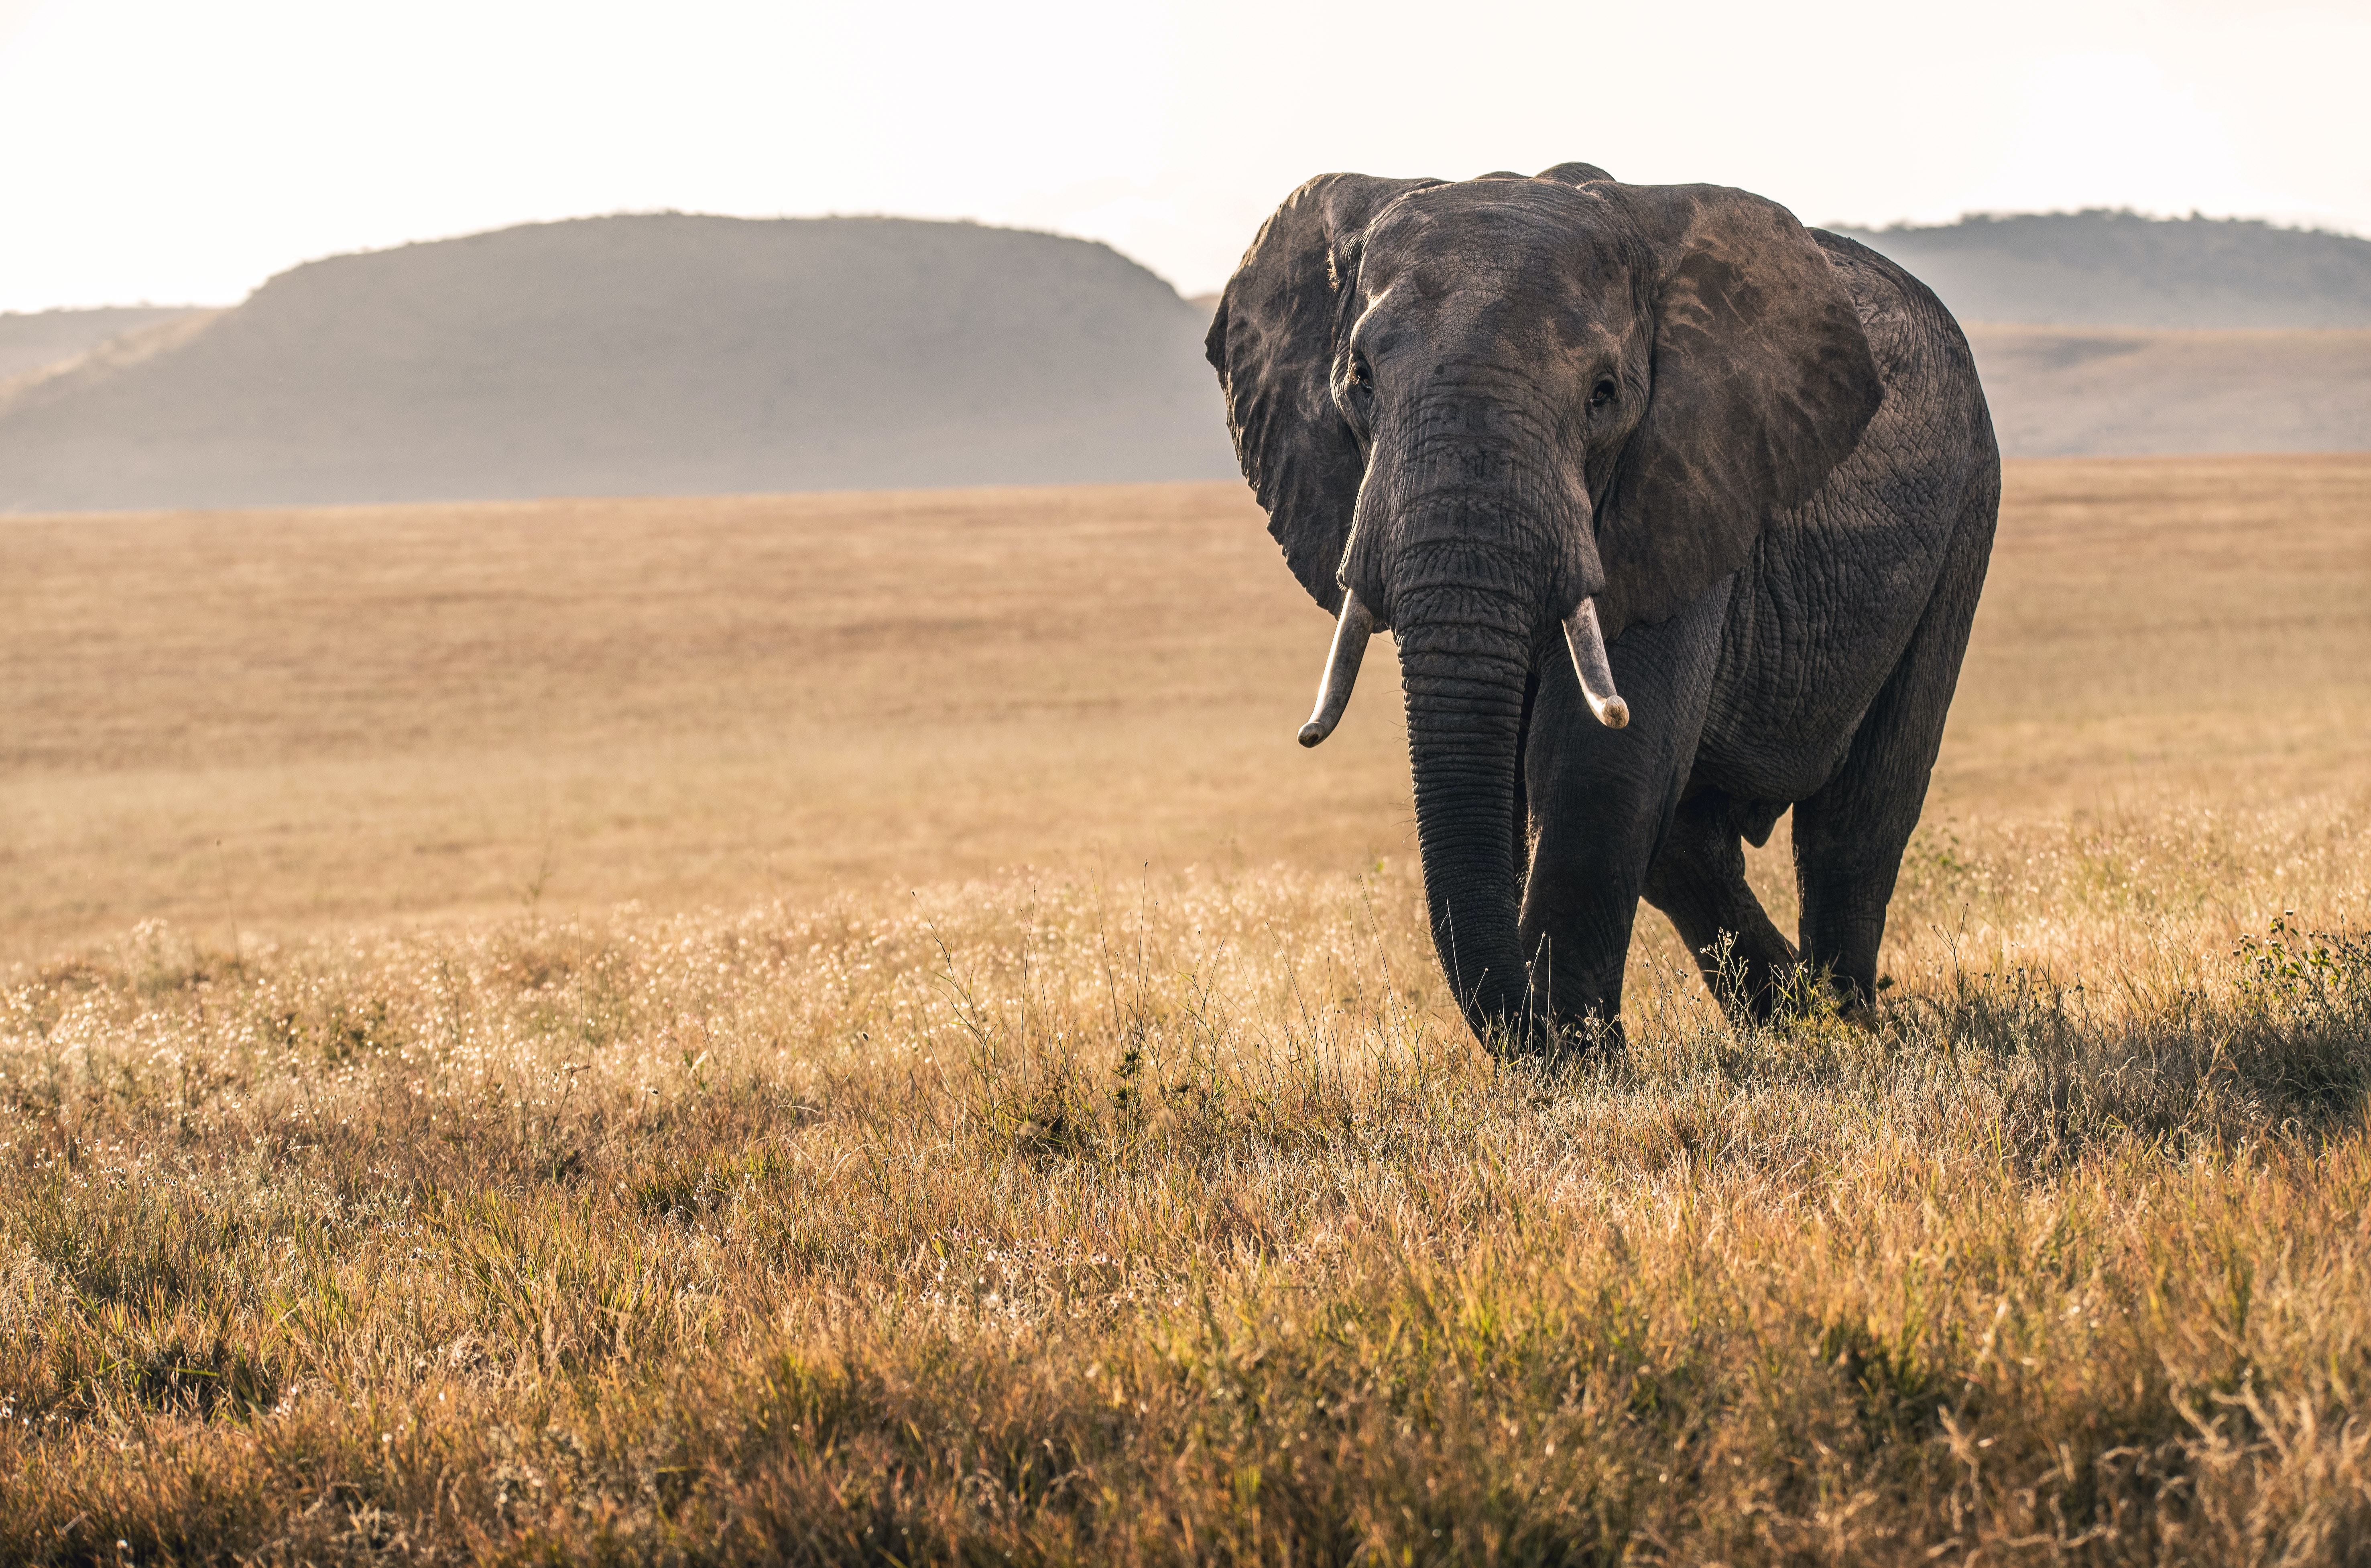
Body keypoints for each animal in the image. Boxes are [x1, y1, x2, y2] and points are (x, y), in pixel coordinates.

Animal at [1204, 162, 2001, 1053]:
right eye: (1359, 381)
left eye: (1603, 395)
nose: (1534, 1026)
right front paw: (1569, 1053)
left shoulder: (1685, 477)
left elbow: (1595, 762)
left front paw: (1579, 1063)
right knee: (1690, 845)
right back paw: (1788, 1022)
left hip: (1967, 507)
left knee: (1856, 820)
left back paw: (1847, 1028)